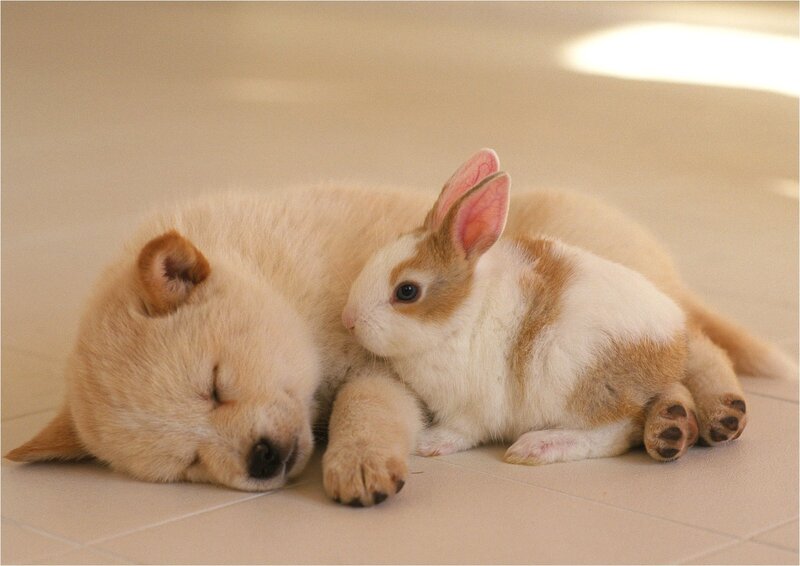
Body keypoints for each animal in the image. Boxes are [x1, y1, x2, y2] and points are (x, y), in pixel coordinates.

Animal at [343, 170, 703, 464]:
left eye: (407, 291)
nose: (349, 320)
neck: (461, 317)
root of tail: (674, 347)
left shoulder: (472, 408)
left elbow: (462, 431)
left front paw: (427, 443)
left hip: (577, 385)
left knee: (614, 433)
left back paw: (535, 447)